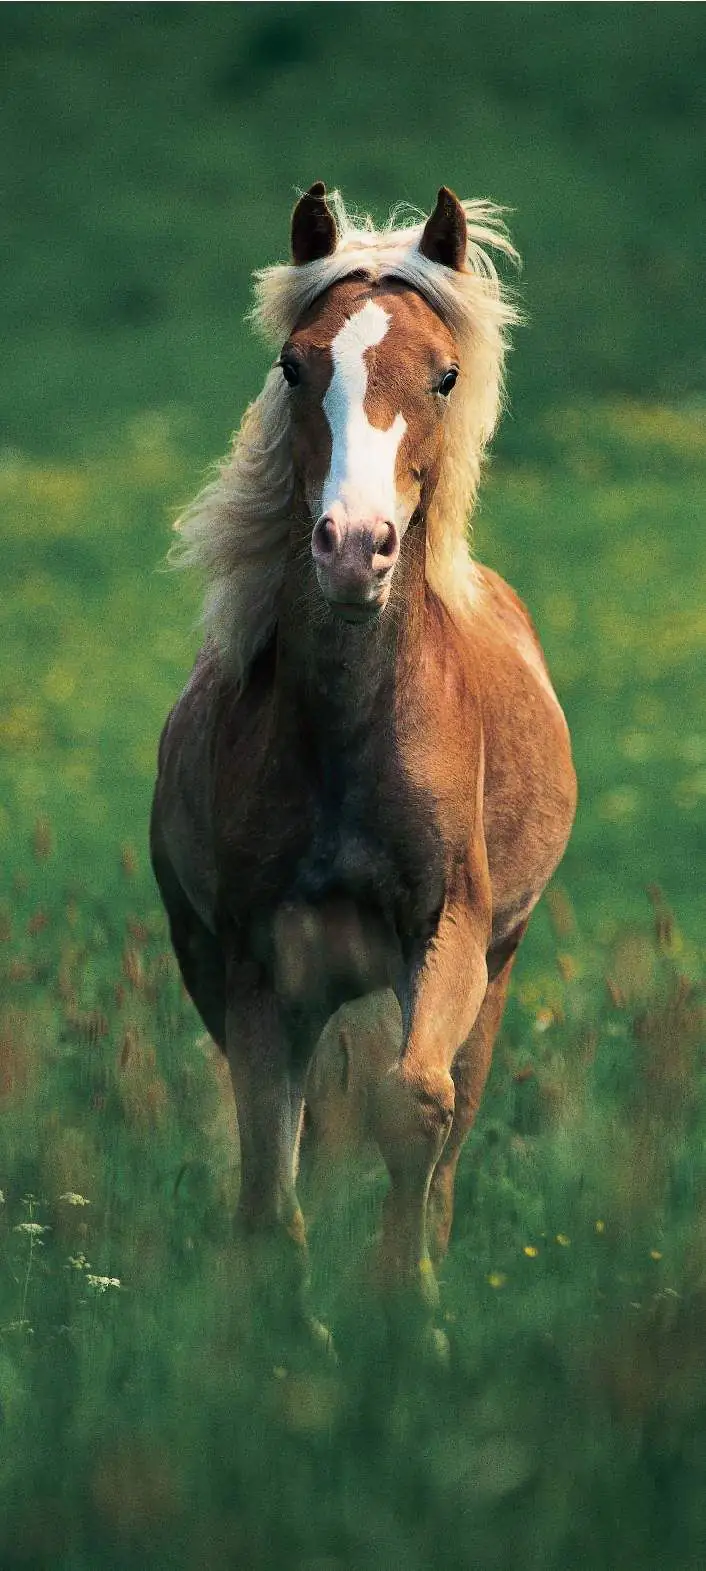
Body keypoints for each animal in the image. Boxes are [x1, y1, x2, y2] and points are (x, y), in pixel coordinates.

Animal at [151, 182, 576, 1344]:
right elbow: (270, 1163)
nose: (352, 548)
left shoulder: (449, 932)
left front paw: (410, 1318)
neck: (347, 733)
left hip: (496, 972)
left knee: (451, 1130)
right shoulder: (255, 966)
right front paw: (289, 1333)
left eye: (445, 374)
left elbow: (414, 1107)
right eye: (296, 365)